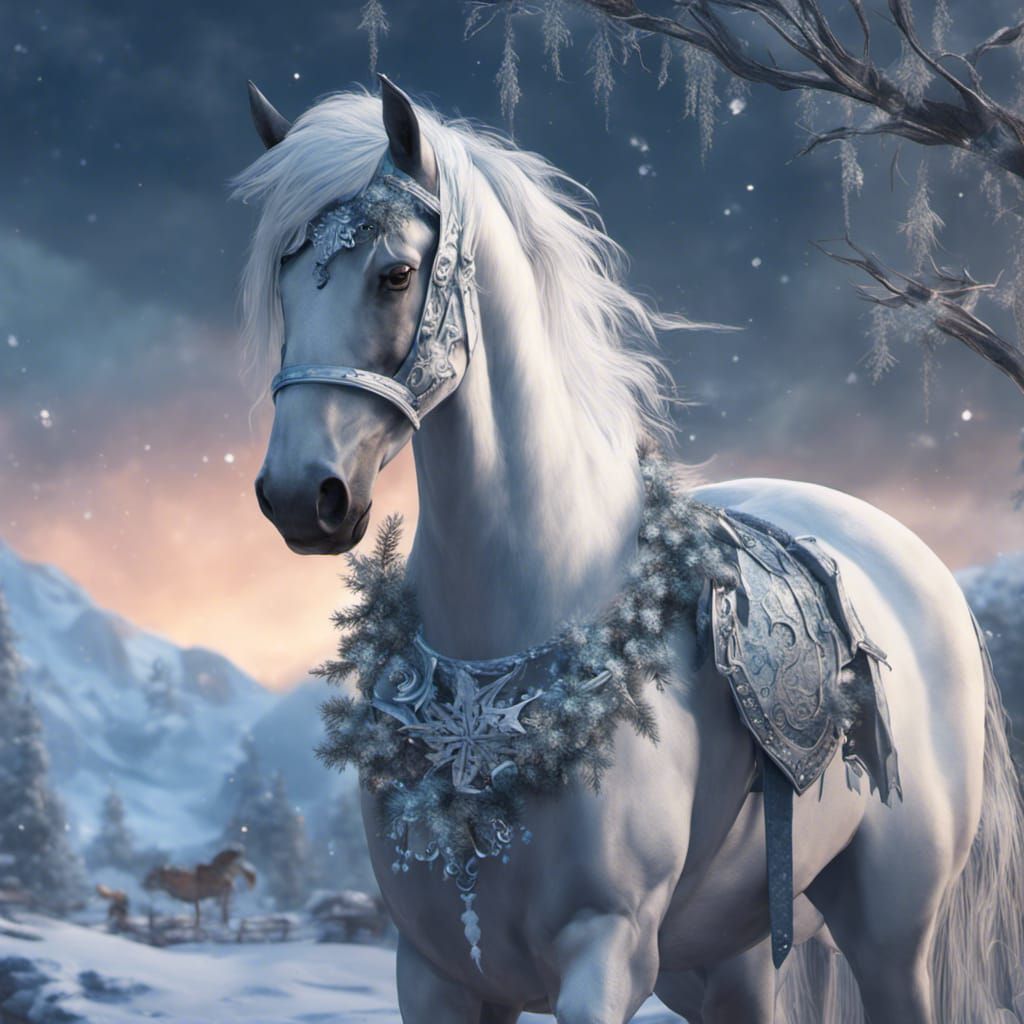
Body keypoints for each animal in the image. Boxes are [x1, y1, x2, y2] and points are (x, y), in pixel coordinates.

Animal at [233, 77, 1024, 1023]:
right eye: (284, 278)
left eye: (394, 274)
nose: (299, 496)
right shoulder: (434, 972)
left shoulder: (603, 952)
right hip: (725, 959)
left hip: (890, 935)